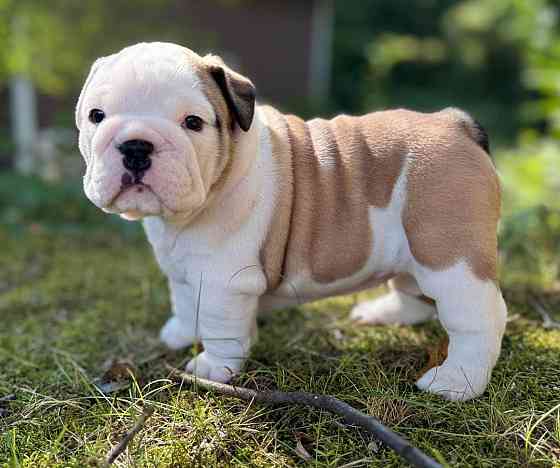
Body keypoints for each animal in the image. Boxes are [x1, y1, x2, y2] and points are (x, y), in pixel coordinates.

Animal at [75, 44, 508, 400]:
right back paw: (383, 313)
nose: (136, 145)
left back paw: (456, 382)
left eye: (193, 123)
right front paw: (179, 334)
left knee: (479, 318)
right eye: (97, 116)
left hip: (449, 258)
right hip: (411, 250)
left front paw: (214, 367)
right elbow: (184, 304)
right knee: (412, 291)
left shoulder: (223, 281)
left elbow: (218, 325)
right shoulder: (183, 272)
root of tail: (456, 124)